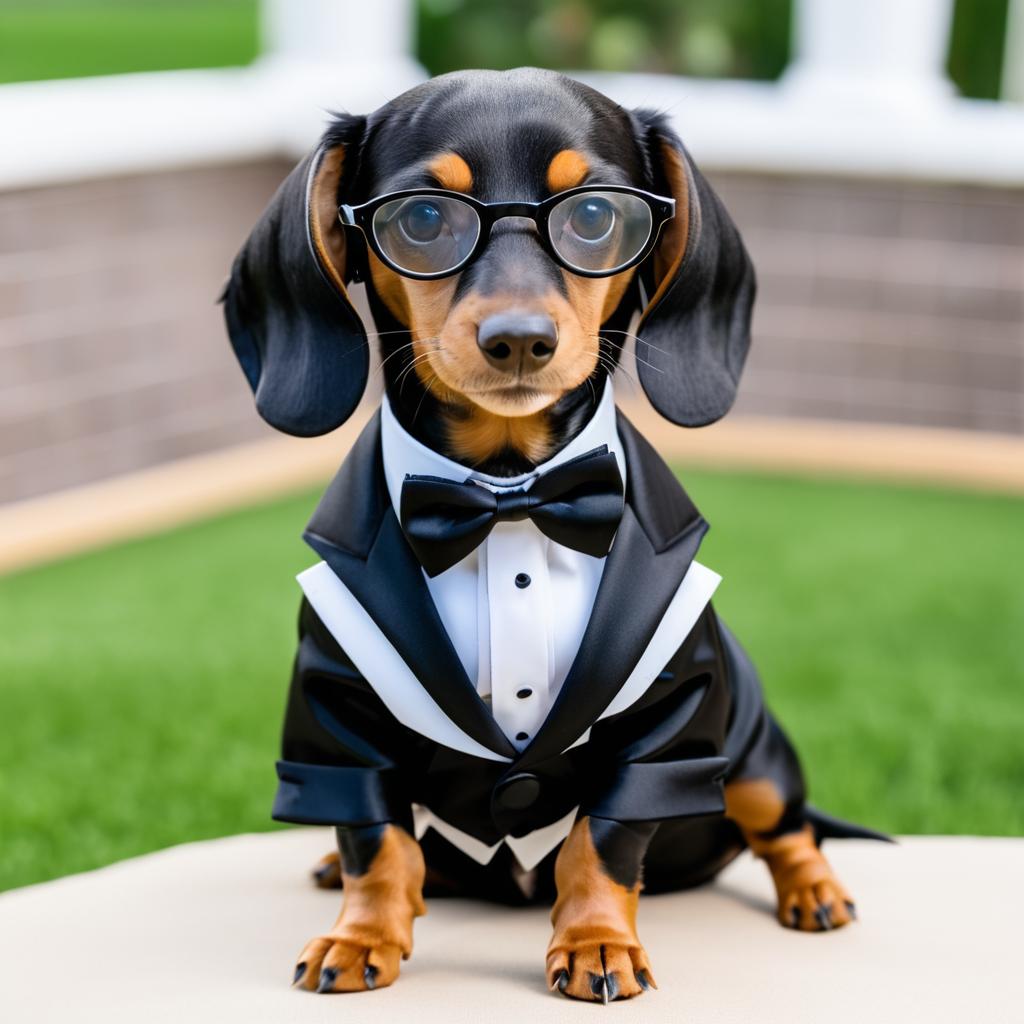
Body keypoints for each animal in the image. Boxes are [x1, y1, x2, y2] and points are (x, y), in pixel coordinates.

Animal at [222, 68, 880, 1003]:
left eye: (596, 216)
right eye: (422, 220)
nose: (519, 341)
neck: (508, 497)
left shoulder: (667, 722)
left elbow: (598, 844)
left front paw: (598, 943)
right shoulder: (337, 715)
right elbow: (376, 843)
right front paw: (361, 934)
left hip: (751, 753)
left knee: (784, 825)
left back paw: (815, 891)